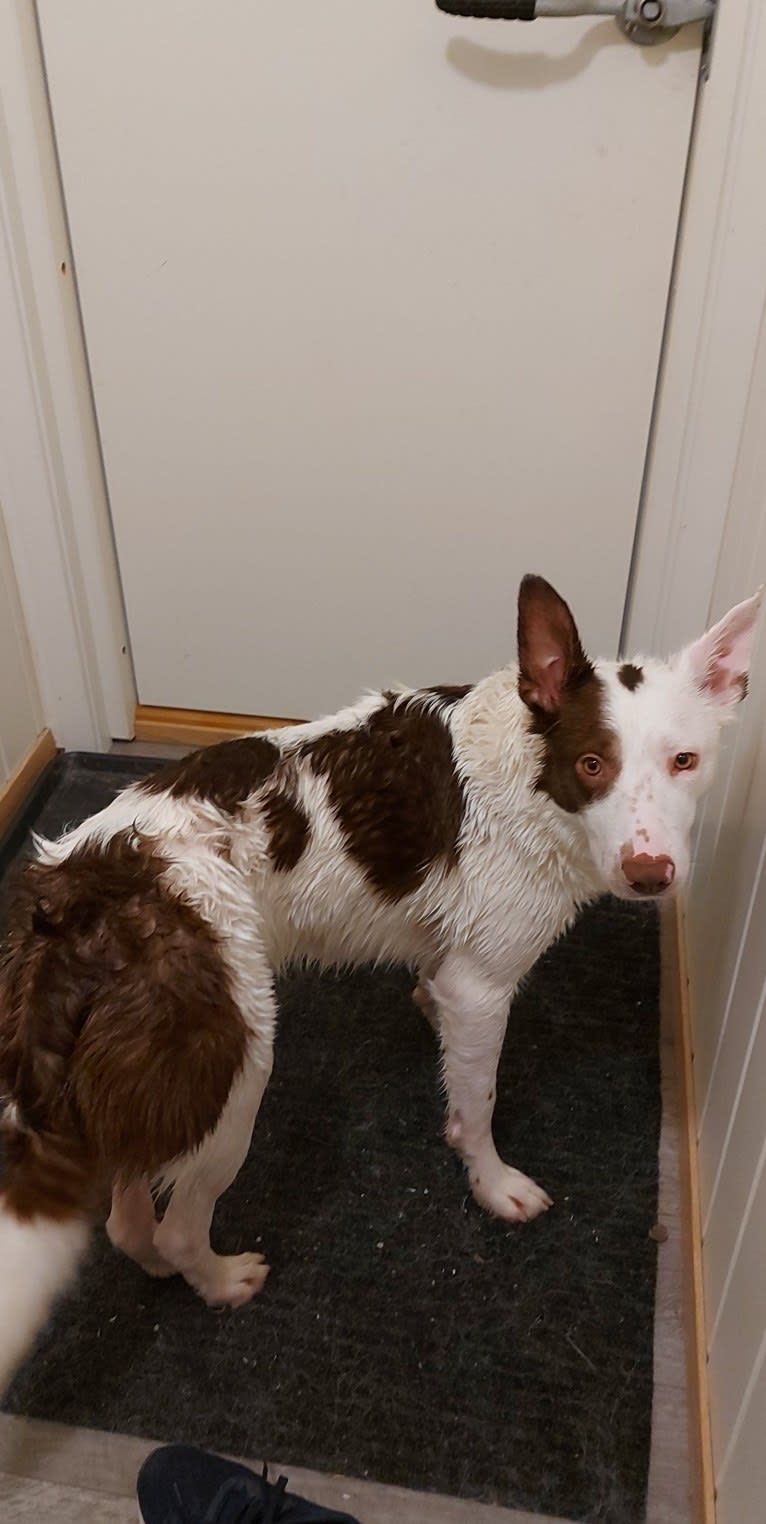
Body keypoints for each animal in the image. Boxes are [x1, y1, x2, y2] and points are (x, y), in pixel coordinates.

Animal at [0, 573, 761, 1395]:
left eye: (685, 760)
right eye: (593, 764)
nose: (650, 876)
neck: (531, 776)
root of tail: (77, 900)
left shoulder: (455, 968)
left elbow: (436, 998)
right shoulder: (484, 989)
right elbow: (477, 1107)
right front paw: (493, 1185)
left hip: (164, 1077)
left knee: (126, 1219)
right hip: (233, 1069)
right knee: (175, 1225)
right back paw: (221, 1279)